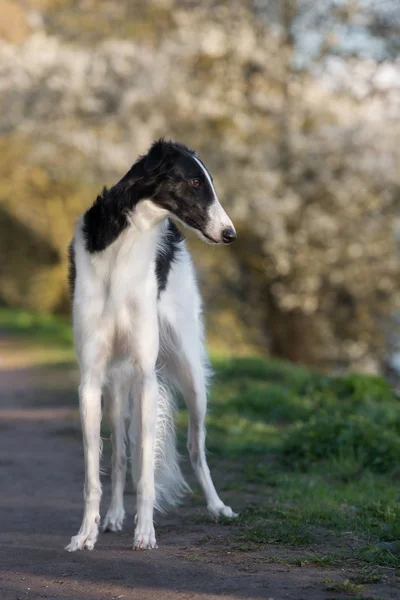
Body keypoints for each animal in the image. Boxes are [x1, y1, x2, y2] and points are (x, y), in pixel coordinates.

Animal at [65, 138, 238, 552]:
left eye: (208, 180)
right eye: (194, 181)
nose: (230, 233)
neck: (122, 246)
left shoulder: (146, 375)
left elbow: (146, 469)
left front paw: (145, 532)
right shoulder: (90, 379)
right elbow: (95, 472)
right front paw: (85, 533)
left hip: (192, 377)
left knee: (195, 448)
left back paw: (216, 506)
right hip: (115, 386)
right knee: (120, 452)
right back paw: (113, 516)